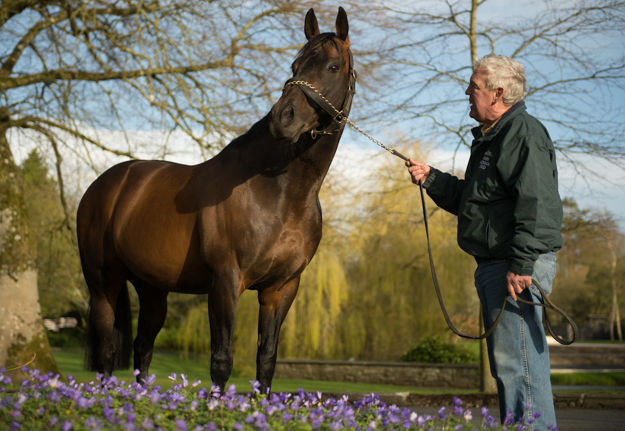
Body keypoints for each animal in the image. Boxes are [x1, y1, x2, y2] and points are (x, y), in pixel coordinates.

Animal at [75, 6, 354, 394]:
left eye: (331, 66)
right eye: (295, 65)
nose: (283, 119)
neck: (279, 193)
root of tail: (104, 185)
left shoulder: (281, 289)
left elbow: (266, 362)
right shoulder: (225, 282)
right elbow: (221, 361)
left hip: (152, 290)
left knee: (143, 349)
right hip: (103, 284)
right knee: (106, 354)